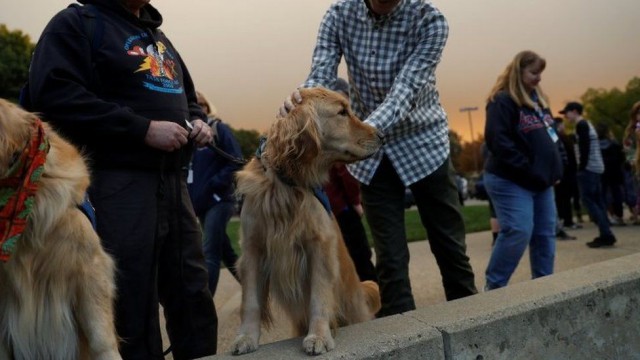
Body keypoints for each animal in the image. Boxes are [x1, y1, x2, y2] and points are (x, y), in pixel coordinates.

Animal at [232, 88, 382, 354]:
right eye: (342, 112)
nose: (382, 135)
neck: (286, 185)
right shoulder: (252, 249)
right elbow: (249, 302)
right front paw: (246, 338)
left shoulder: (319, 247)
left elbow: (318, 298)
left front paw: (319, 336)